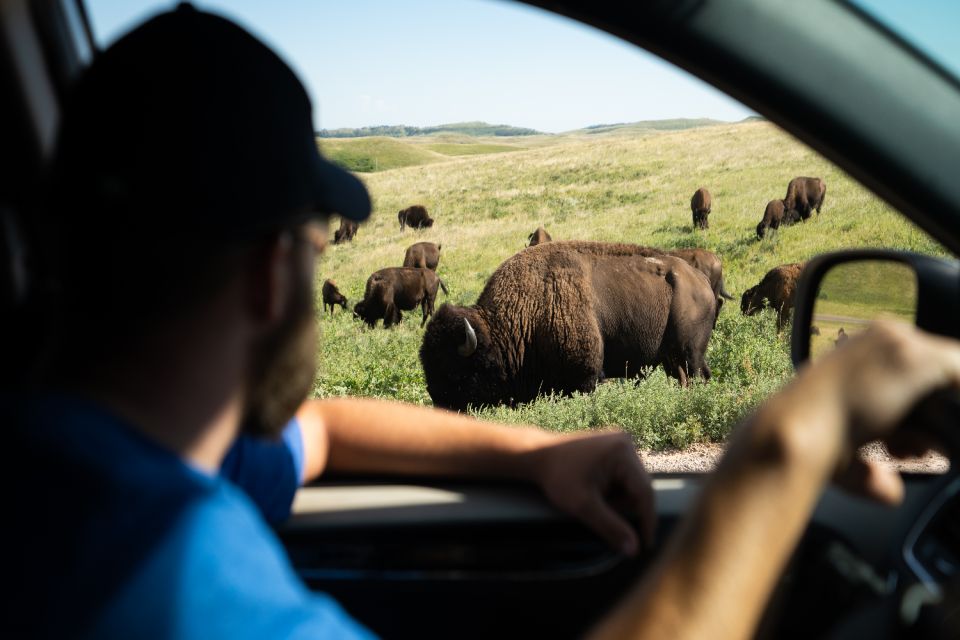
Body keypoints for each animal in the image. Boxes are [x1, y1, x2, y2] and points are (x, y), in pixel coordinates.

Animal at [416, 240, 716, 410]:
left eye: (454, 371)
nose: (438, 402)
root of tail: (701, 280)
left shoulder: (584, 378)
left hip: (689, 353)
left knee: (697, 375)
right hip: (672, 359)